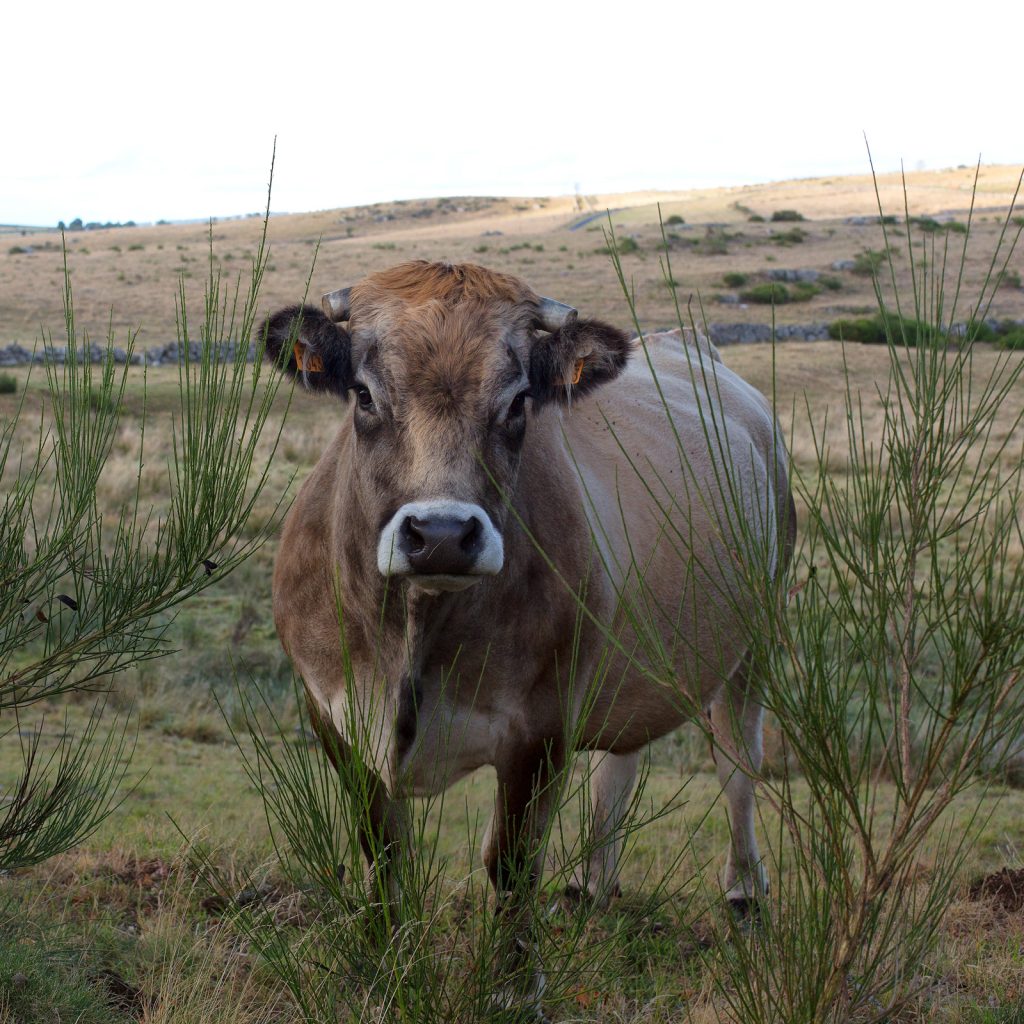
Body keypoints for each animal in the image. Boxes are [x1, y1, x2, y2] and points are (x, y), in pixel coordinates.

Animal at [262, 260, 790, 1019]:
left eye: (517, 402)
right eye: (363, 393)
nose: (442, 534)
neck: (412, 636)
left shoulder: (539, 726)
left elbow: (509, 861)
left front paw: (513, 989)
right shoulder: (332, 713)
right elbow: (382, 847)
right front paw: (386, 969)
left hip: (756, 634)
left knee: (737, 762)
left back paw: (745, 894)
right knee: (620, 761)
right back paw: (590, 888)